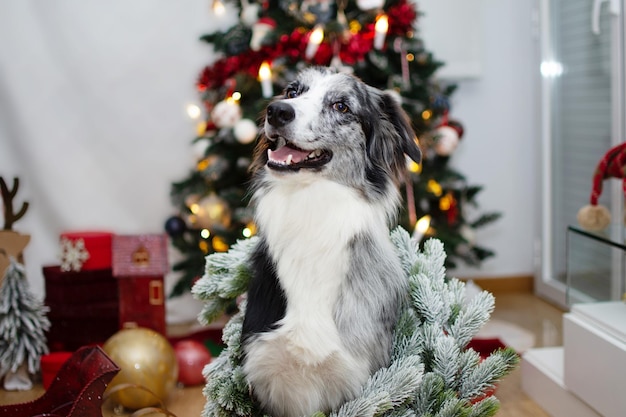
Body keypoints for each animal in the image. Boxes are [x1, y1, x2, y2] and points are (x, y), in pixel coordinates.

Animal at [241, 67, 422, 416]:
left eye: (342, 106)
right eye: (292, 91)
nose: (277, 110)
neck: (311, 204)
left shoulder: (358, 376)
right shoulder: (263, 375)